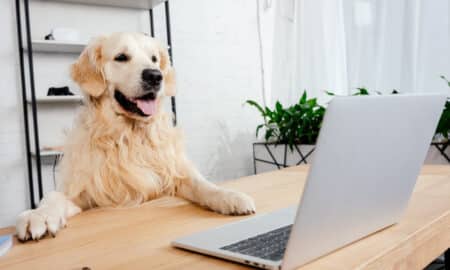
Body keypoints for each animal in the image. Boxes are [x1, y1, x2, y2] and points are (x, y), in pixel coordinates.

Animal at [15, 32, 255, 242]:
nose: (155, 76)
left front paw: (230, 196)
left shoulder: (174, 174)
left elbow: (203, 184)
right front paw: (38, 215)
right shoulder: (84, 195)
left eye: (154, 59)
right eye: (121, 57)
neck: (129, 135)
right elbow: (52, 197)